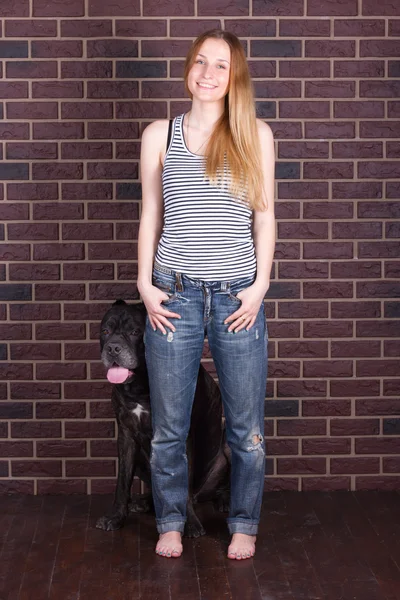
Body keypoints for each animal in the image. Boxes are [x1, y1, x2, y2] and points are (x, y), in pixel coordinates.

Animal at [95, 298, 230, 536]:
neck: (141, 385)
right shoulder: (126, 436)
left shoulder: (183, 437)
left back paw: (223, 501)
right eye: (106, 331)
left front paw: (191, 523)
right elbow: (122, 482)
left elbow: (182, 483)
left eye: (135, 332)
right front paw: (115, 517)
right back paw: (145, 503)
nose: (113, 348)